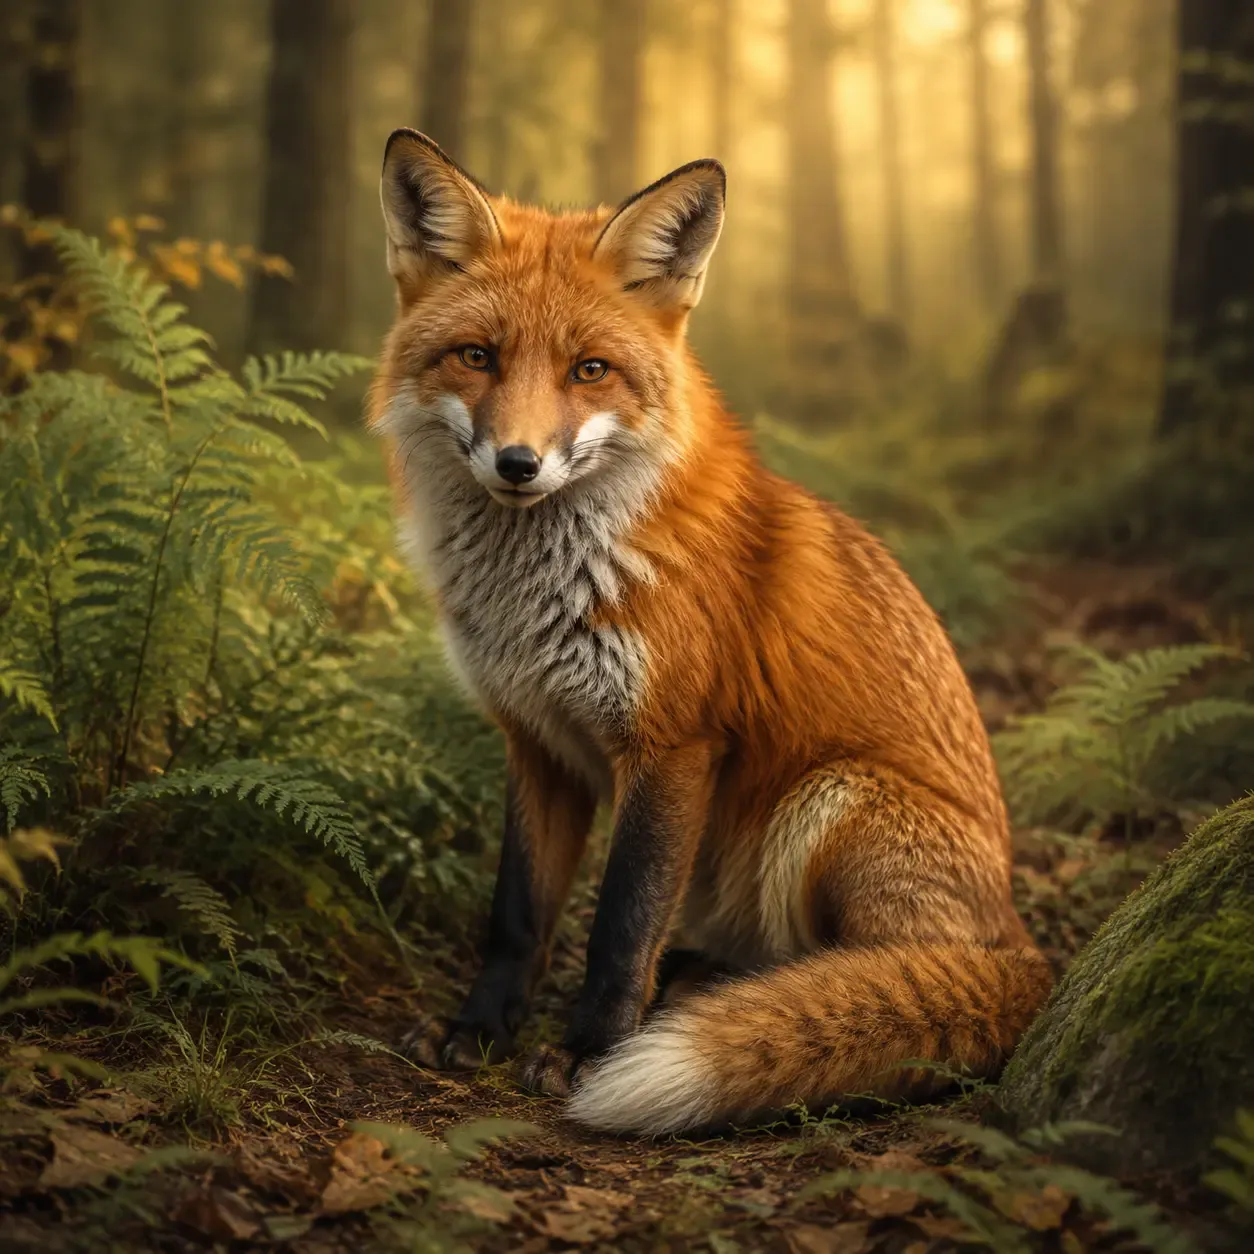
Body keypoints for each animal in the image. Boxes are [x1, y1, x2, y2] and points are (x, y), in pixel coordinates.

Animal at [368, 128, 1053, 1137]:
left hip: (827, 803)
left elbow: (620, 922)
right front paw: (479, 1027)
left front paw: (589, 1053)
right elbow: (517, 912)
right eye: (477, 356)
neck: (544, 592)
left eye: (589, 370)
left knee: (870, 972)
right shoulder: (537, 741)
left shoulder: (674, 743)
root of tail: (1023, 948)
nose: (519, 463)